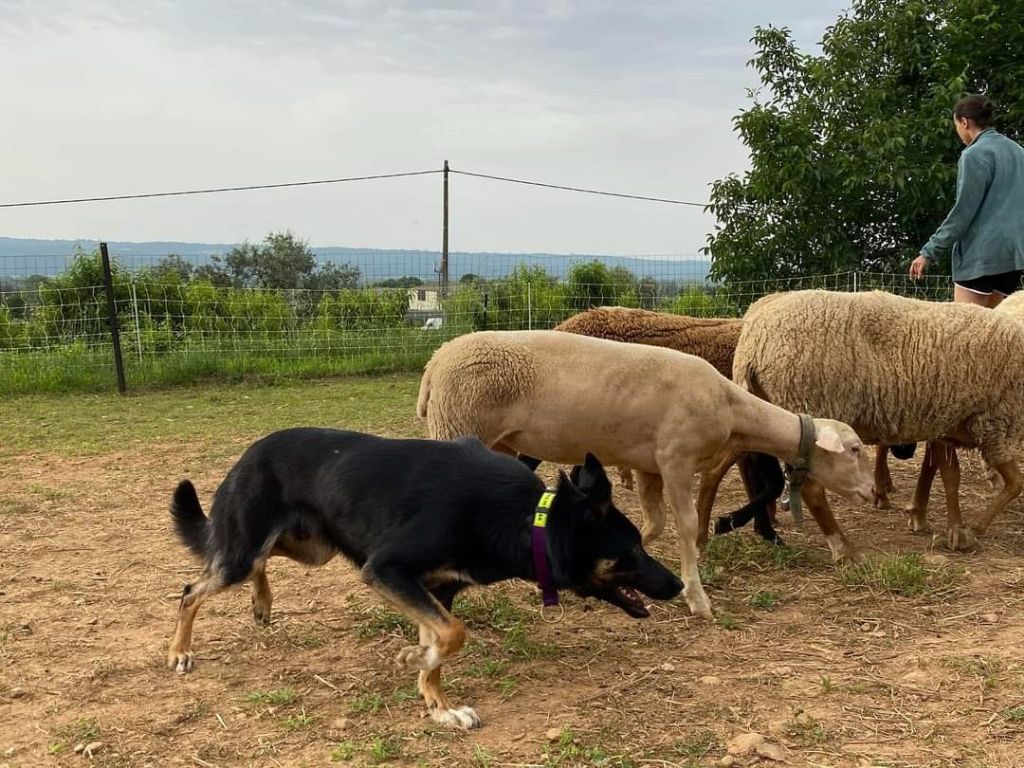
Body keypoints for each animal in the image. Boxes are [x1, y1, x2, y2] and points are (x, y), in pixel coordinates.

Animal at [165, 430, 679, 729]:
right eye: (633, 550)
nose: (676, 585)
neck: (526, 520)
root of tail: (249, 452)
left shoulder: (434, 588)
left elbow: (443, 643)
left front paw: (439, 705)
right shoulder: (387, 569)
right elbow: (452, 636)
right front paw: (415, 660)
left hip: (313, 547)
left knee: (253, 566)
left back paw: (262, 603)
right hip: (249, 549)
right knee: (194, 588)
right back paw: (180, 651)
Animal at [415, 331, 872, 618]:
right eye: (855, 449)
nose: (871, 492)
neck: (730, 406)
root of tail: (437, 359)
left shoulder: (649, 465)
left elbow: (652, 524)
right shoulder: (675, 457)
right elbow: (685, 524)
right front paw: (697, 598)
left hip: (501, 442)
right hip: (457, 421)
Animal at [708, 290, 1024, 561]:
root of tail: (754, 343)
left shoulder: (950, 422)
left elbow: (950, 476)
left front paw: (955, 530)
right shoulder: (996, 424)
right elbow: (1014, 482)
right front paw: (973, 529)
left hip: (766, 414)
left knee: (726, 464)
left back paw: (720, 527)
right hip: (808, 410)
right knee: (811, 488)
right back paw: (843, 549)